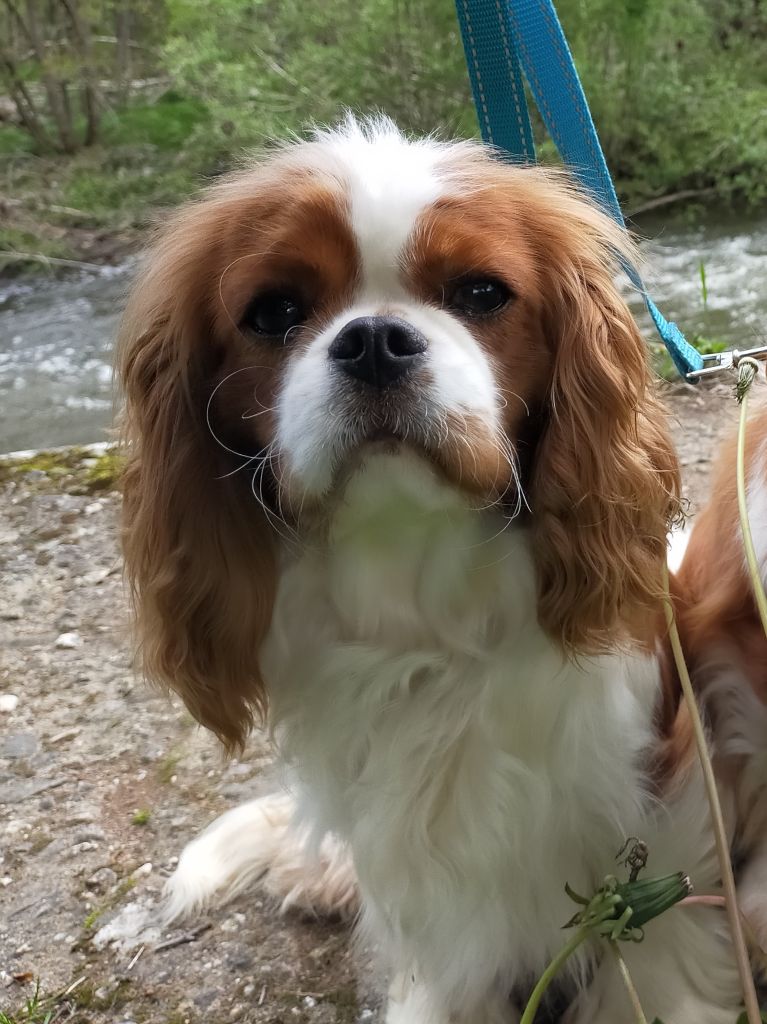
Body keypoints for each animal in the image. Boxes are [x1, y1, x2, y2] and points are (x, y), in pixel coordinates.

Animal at [115, 117, 765, 1024]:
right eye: (273, 312)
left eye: (481, 293)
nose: (373, 340)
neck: (420, 593)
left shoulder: (670, 777)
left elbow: (664, 942)